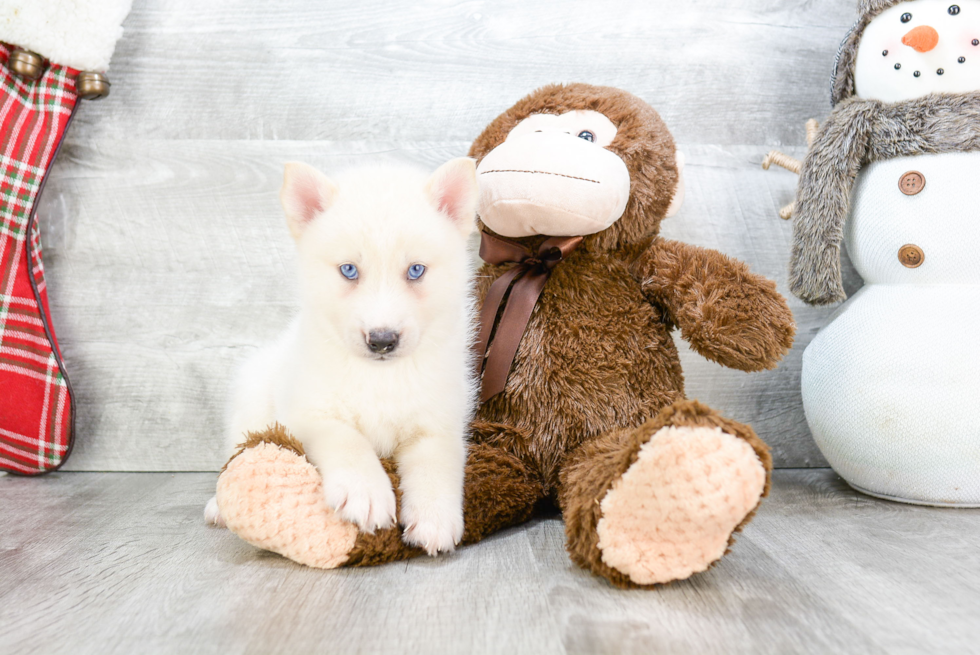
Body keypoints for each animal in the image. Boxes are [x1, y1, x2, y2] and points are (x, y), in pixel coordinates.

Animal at [205, 158, 480, 552]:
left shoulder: (437, 423)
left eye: (416, 270)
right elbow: (346, 440)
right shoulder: (307, 412)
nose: (382, 340)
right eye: (349, 270)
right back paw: (217, 506)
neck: (380, 377)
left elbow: (438, 463)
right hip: (251, 398)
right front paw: (365, 491)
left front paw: (435, 517)